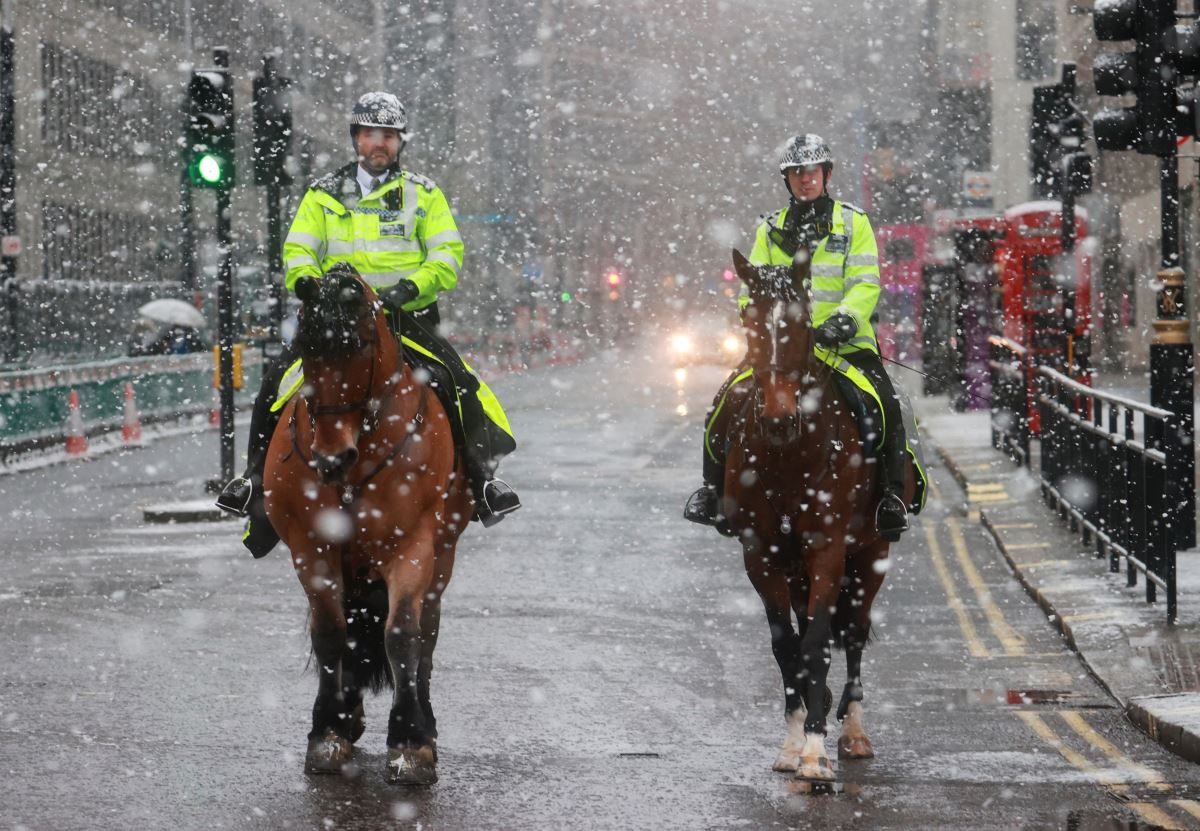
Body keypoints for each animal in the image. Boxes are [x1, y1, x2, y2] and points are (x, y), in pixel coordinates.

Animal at [265, 267, 470, 787]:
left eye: (358, 344)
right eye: (306, 348)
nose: (331, 457)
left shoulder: (412, 544)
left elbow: (401, 635)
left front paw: (411, 744)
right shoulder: (311, 547)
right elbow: (330, 632)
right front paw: (327, 732)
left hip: (442, 553)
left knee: (426, 631)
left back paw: (425, 721)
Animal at [715, 249, 912, 782]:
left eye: (804, 325)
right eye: (750, 322)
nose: (779, 419)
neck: (788, 456)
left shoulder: (828, 550)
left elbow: (820, 642)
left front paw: (816, 751)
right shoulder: (760, 555)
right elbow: (788, 646)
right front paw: (793, 741)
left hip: (870, 554)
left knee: (857, 633)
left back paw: (854, 731)